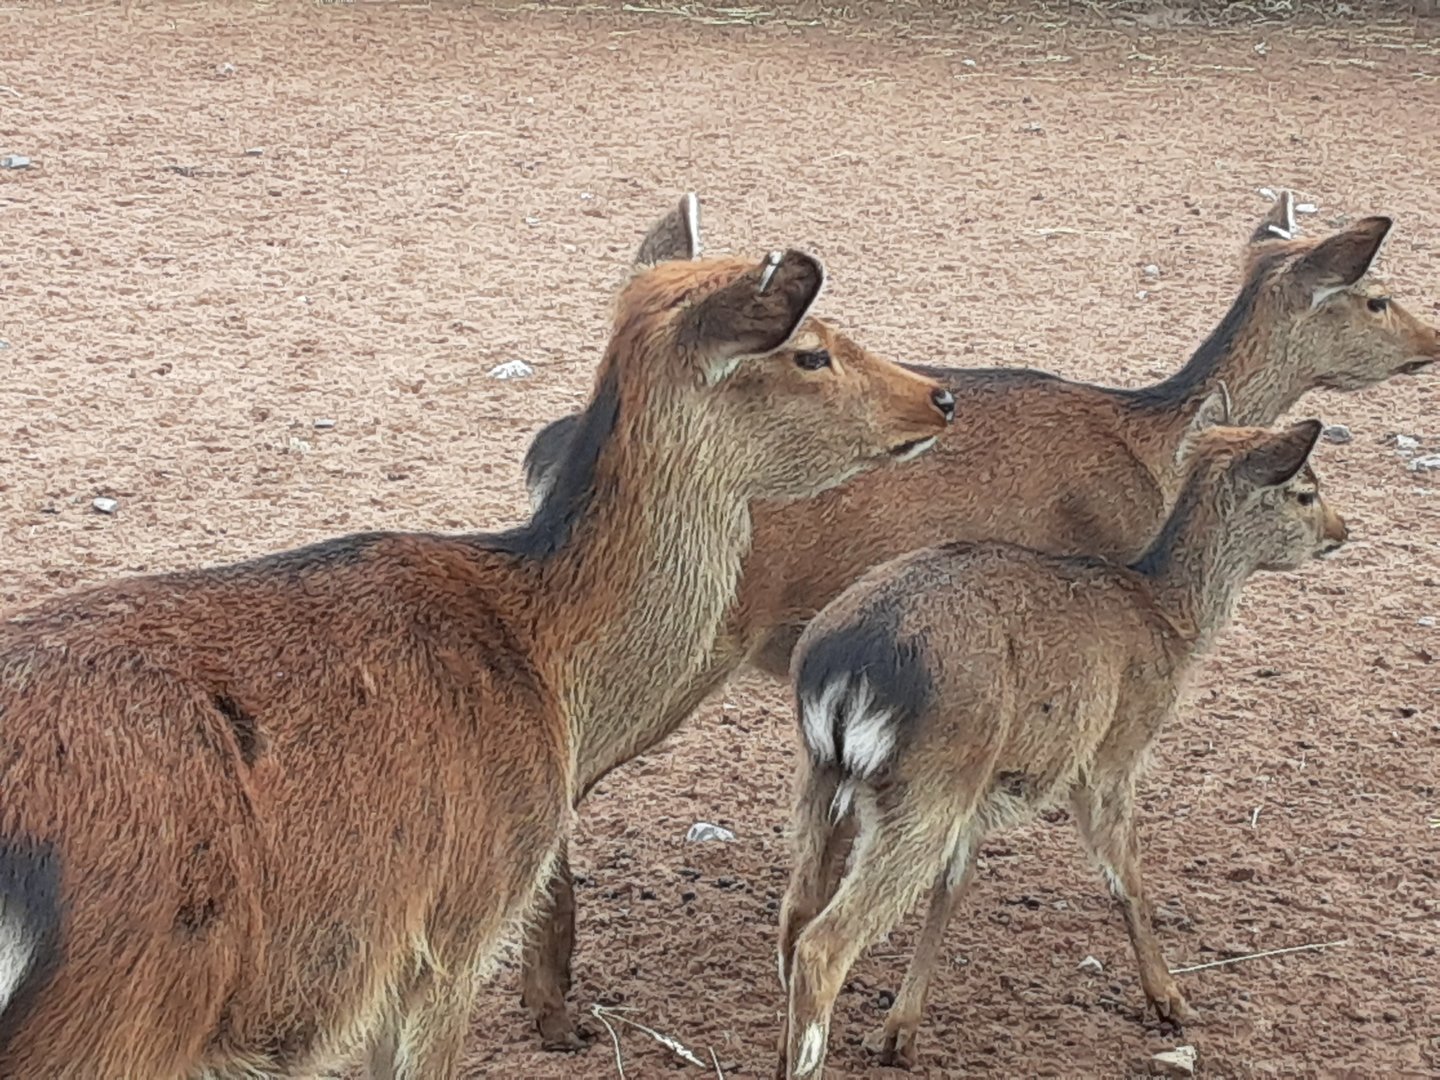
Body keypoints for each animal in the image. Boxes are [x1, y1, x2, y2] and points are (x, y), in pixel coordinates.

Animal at [776, 417, 1350, 1078]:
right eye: (1305, 491)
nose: (1342, 530)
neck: (1167, 618)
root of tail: (844, 669)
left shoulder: (986, 791)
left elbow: (953, 888)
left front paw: (901, 1033)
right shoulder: (1112, 752)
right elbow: (1125, 876)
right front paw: (1171, 1002)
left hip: (825, 772)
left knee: (796, 914)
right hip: (931, 779)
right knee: (824, 945)